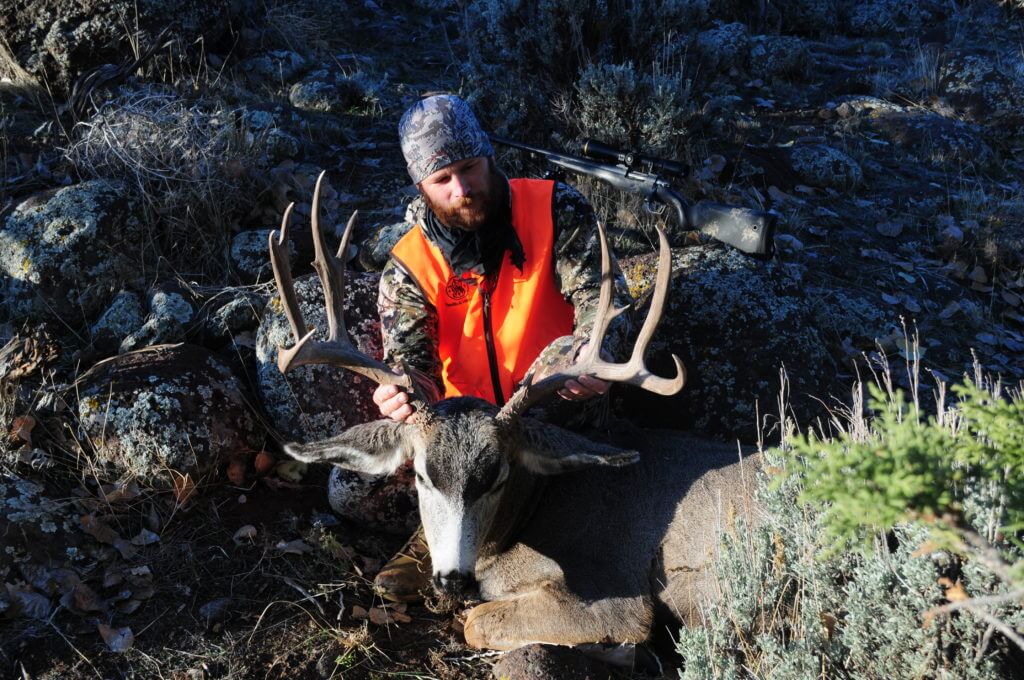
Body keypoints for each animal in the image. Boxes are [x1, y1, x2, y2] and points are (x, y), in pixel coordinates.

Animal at [268, 173, 757, 651]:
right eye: (422, 476)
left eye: (499, 476)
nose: (452, 579)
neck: (527, 516)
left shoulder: (614, 588)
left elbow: (476, 622)